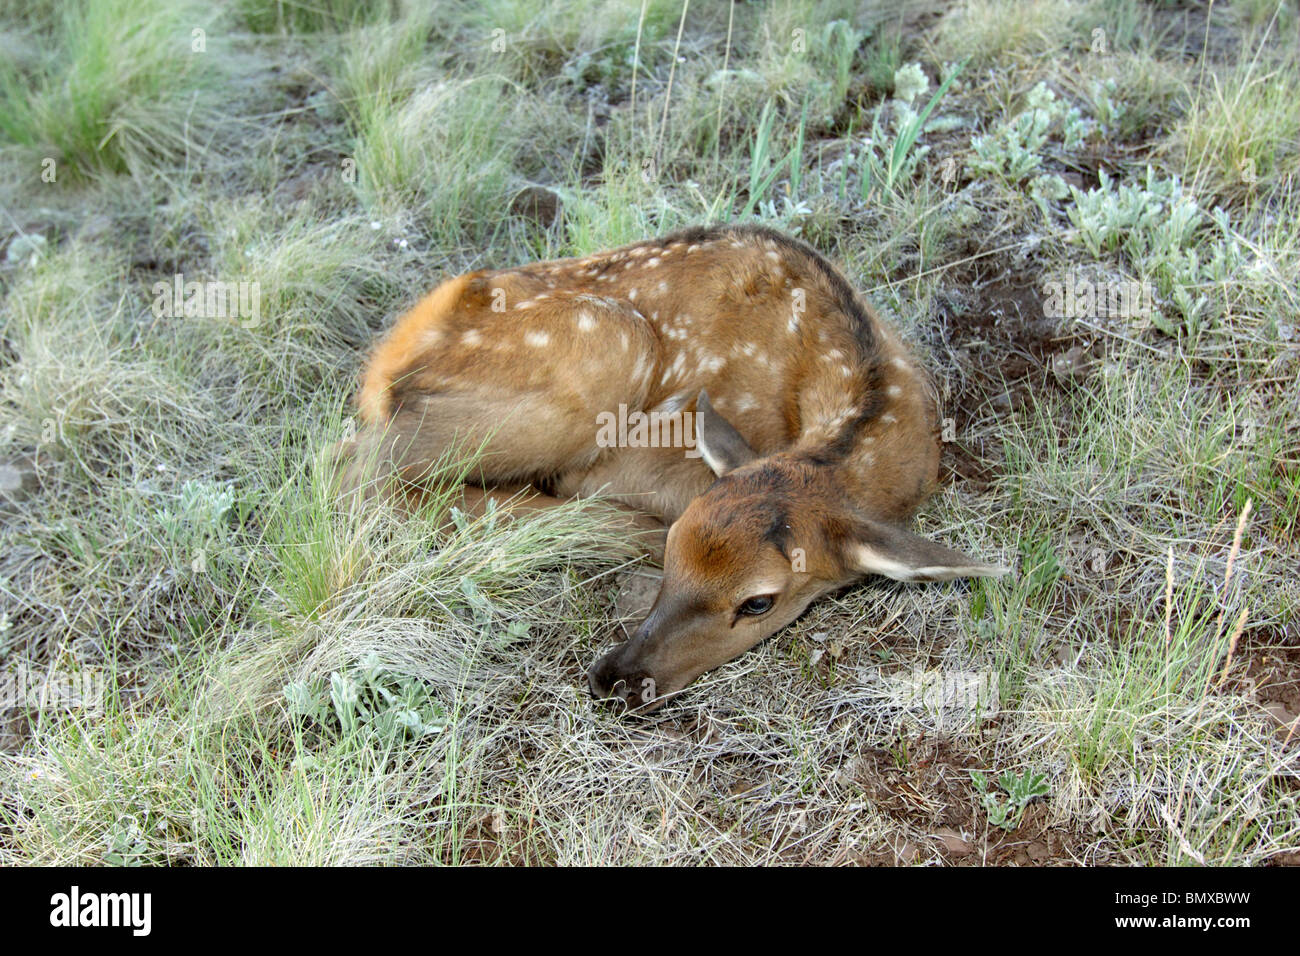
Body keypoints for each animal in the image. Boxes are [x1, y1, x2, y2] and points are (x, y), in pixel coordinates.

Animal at [340, 226, 998, 712]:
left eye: (759, 602)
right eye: (674, 551)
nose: (616, 679)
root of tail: (382, 365)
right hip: (610, 342)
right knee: (357, 469)